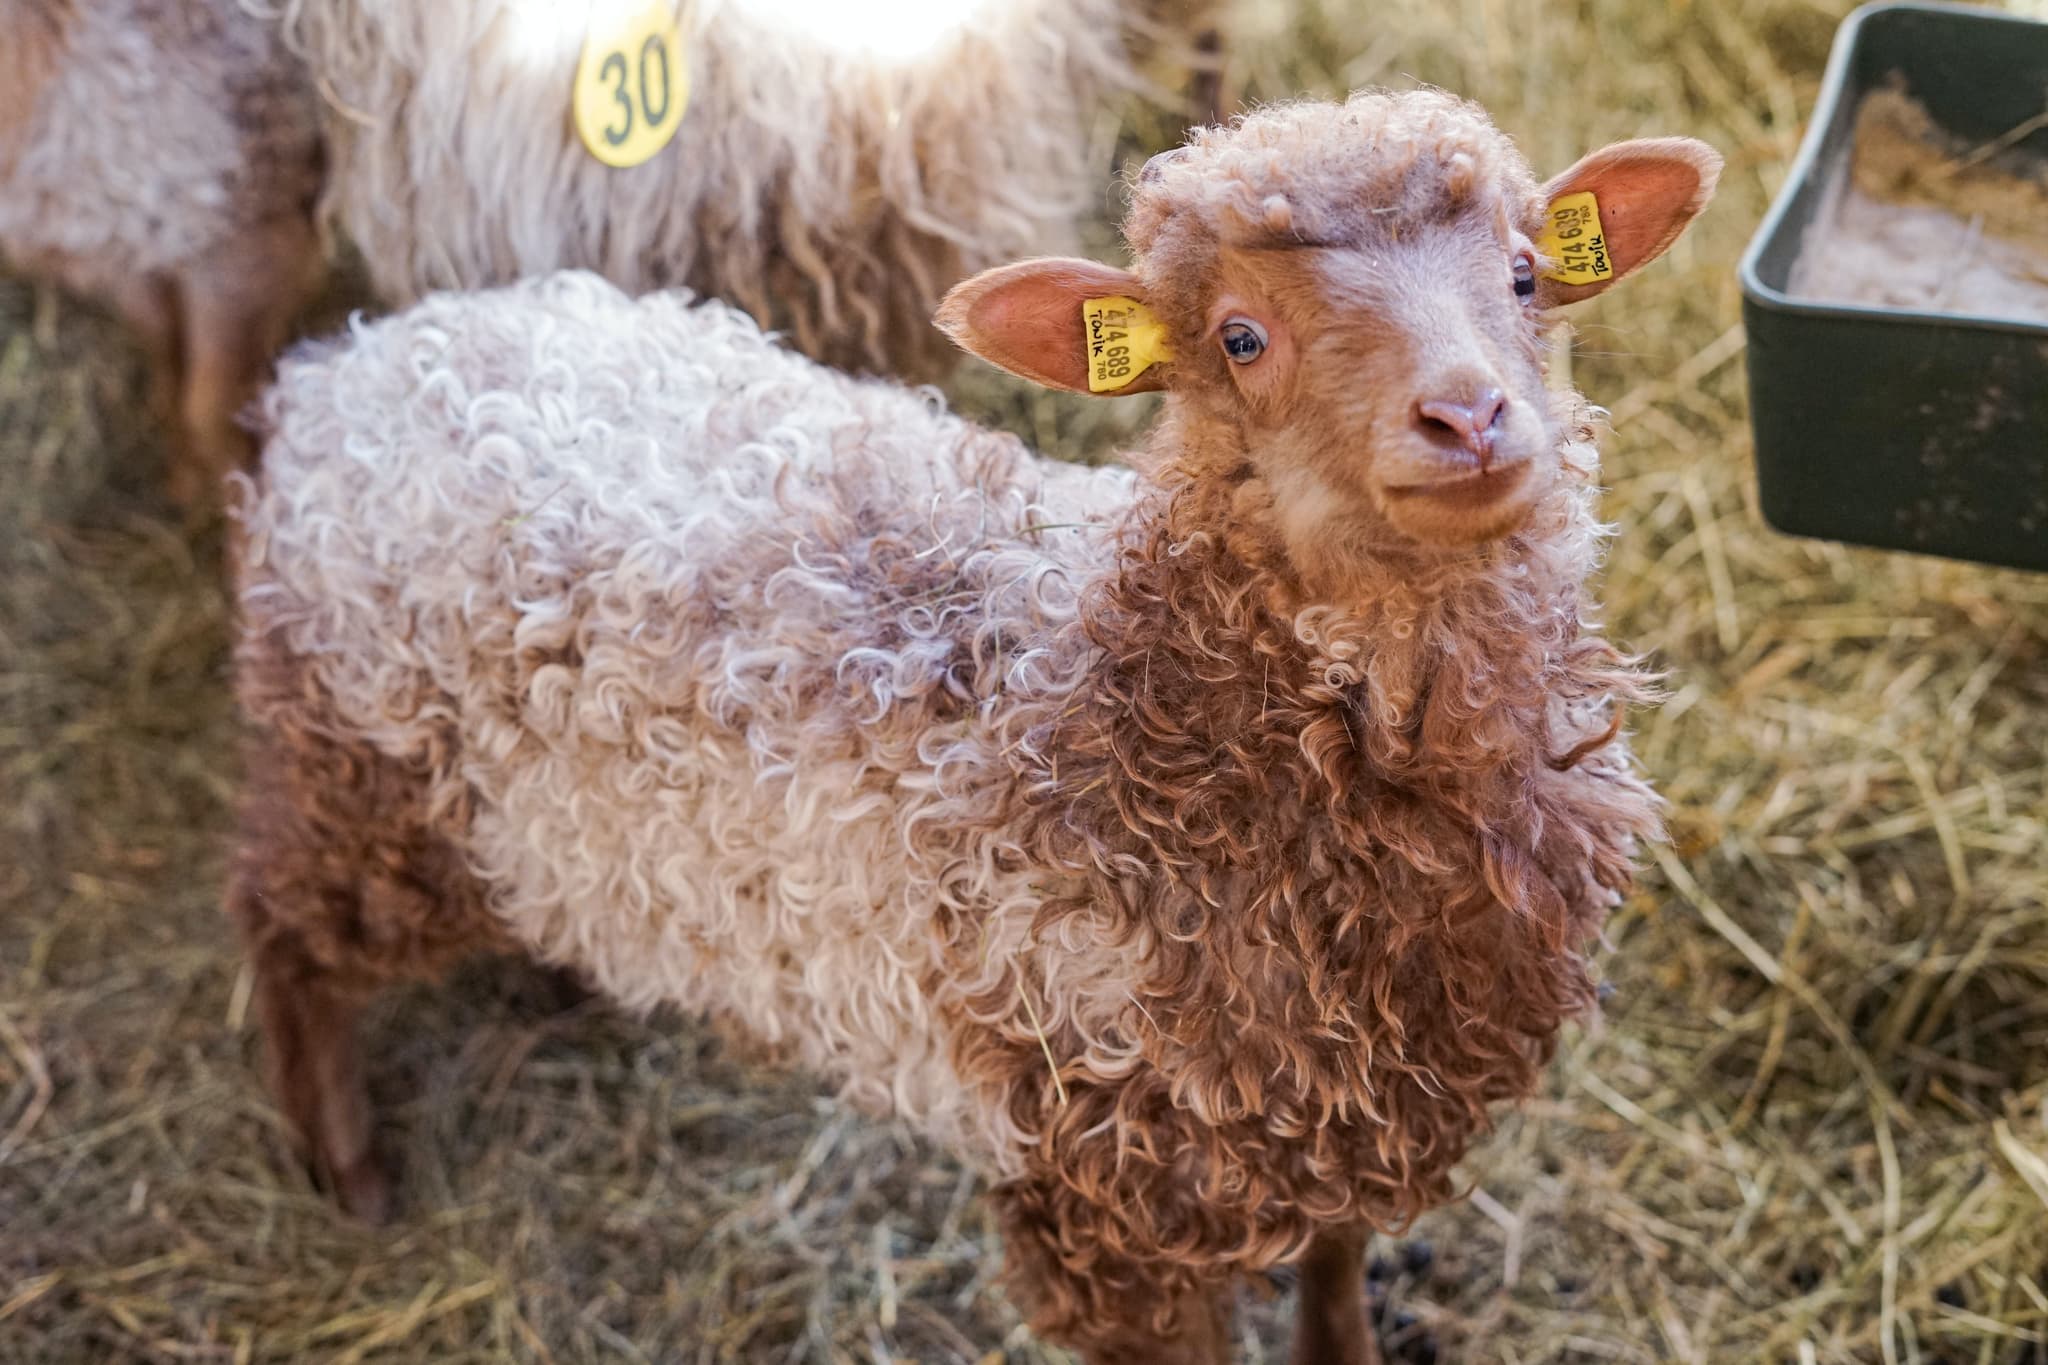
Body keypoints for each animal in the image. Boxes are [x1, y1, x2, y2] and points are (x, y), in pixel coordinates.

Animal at [226, 89, 1719, 1362]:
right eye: (1239, 339)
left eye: (1525, 275)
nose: (1467, 415)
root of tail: (345, 373)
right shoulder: (1112, 1194)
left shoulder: (1340, 1109)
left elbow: (1339, 1279)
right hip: (361, 772)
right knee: (285, 934)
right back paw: (346, 1166)